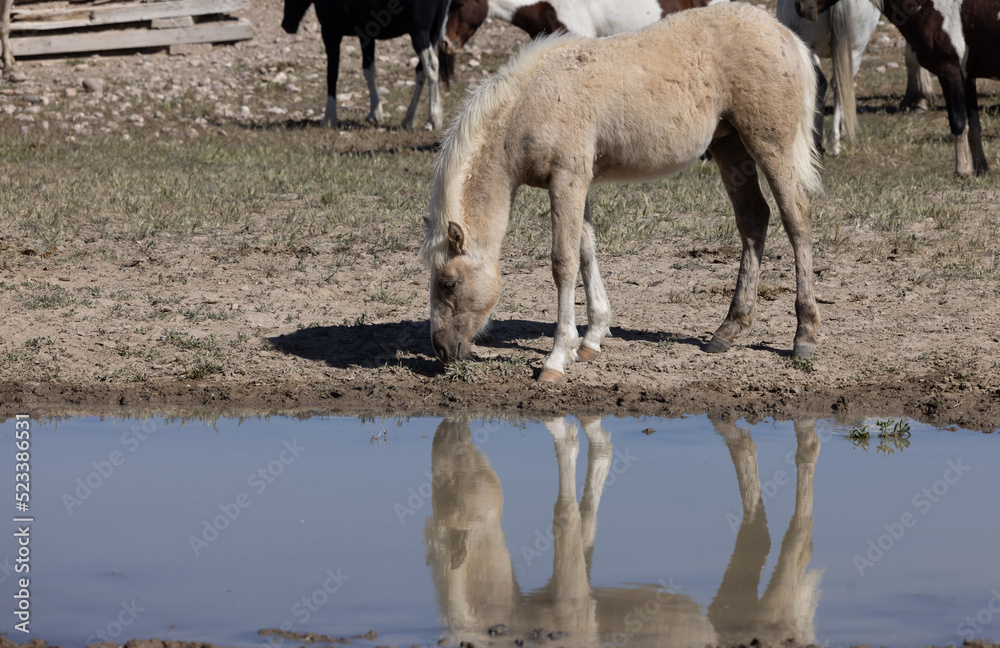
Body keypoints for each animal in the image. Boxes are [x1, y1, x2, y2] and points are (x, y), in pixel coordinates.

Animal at [281, 0, 451, 130]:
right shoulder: (367, 36)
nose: (286, 25)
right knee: (421, 71)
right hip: (431, 34)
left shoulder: (330, 33)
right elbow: (368, 70)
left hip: (418, 33)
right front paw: (375, 112)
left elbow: (332, 74)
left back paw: (432, 119)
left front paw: (329, 117)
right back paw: (409, 119)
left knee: (431, 66)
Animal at [423, 2, 822, 383]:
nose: (440, 349)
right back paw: (729, 328)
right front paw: (591, 339)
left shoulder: (566, 180)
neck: (530, 104)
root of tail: (786, 35)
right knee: (753, 220)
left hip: (770, 145)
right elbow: (587, 251)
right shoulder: (578, 182)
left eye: (448, 283)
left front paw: (557, 358)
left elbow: (563, 262)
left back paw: (804, 335)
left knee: (796, 219)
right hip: (729, 147)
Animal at [795, 0, 999, 176]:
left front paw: (963, 171)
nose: (801, 6)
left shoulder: (950, 71)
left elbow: (958, 122)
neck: (930, 8)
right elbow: (973, 124)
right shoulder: (967, 77)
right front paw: (981, 169)